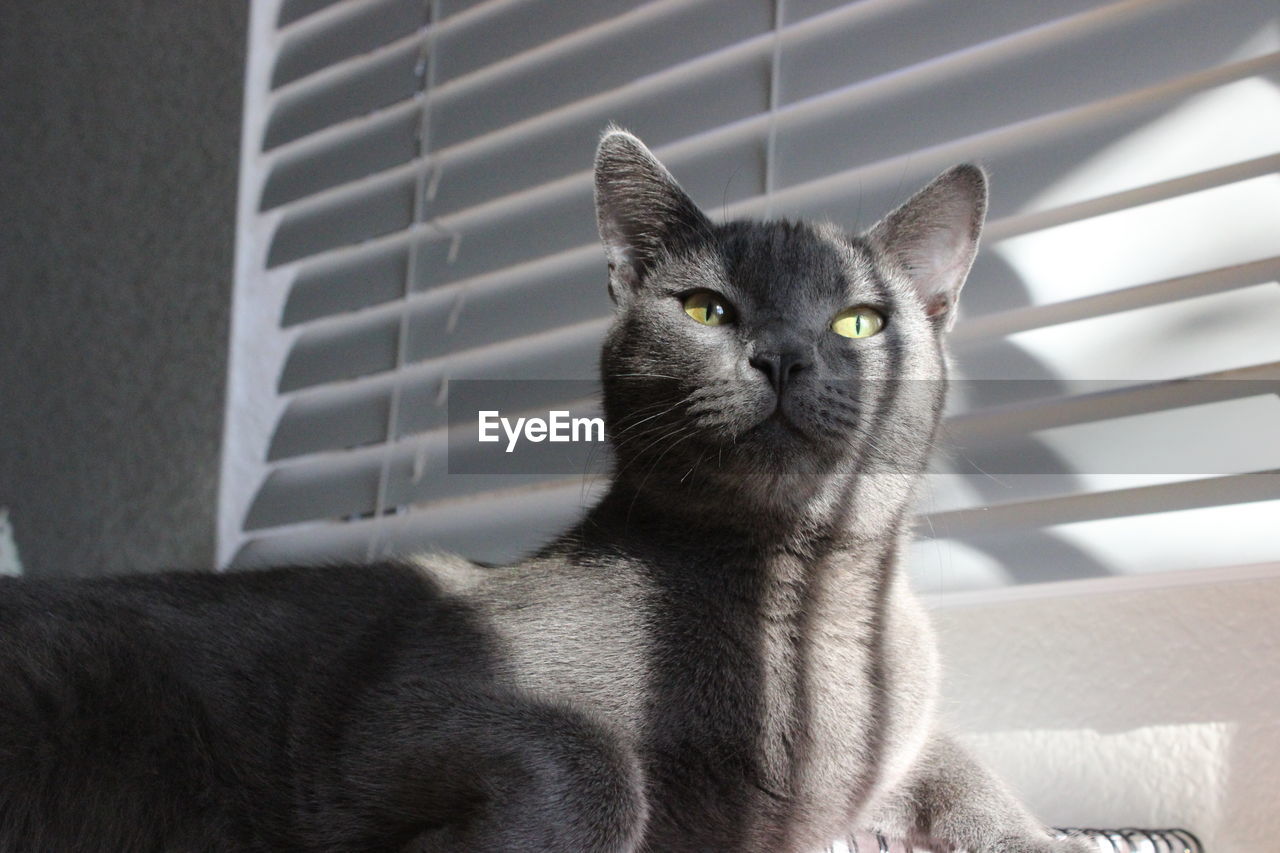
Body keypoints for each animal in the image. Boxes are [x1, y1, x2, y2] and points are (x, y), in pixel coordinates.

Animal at [0, 128, 1090, 850]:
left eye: (859, 323)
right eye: (706, 308)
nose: (783, 354)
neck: (792, 613)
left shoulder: (899, 736)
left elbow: (963, 765)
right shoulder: (416, 701)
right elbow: (591, 762)